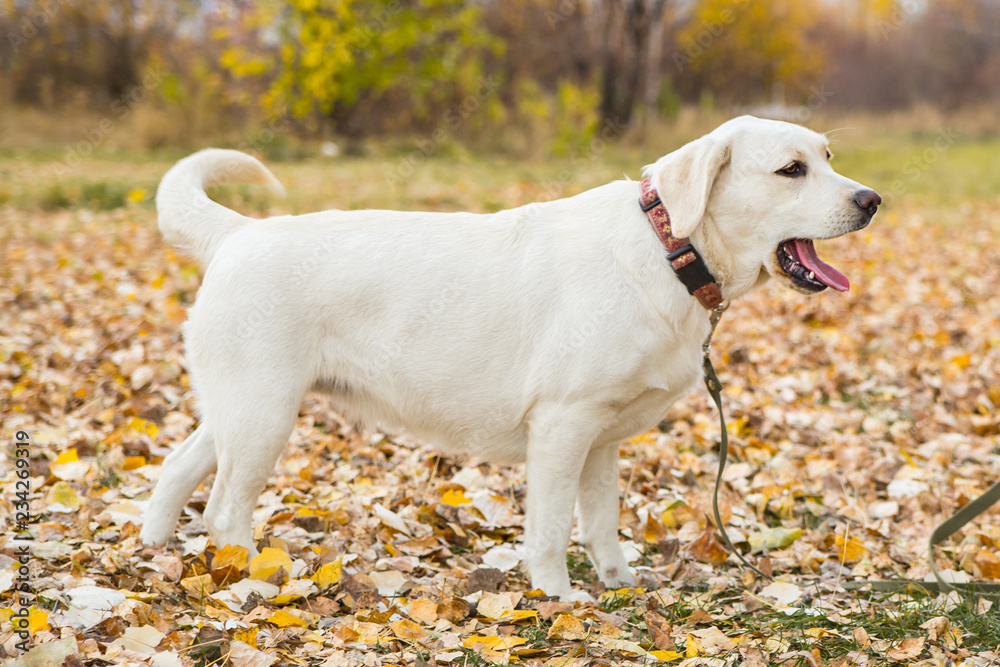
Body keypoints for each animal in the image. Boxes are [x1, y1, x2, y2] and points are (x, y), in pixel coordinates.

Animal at [139, 117, 876, 604]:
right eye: (791, 170)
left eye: (829, 156)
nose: (871, 199)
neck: (669, 249)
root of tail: (240, 232)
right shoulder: (562, 425)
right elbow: (549, 529)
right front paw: (559, 598)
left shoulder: (601, 441)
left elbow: (601, 524)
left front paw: (619, 585)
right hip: (264, 415)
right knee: (223, 510)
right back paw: (252, 584)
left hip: (240, 411)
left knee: (176, 470)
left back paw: (154, 555)